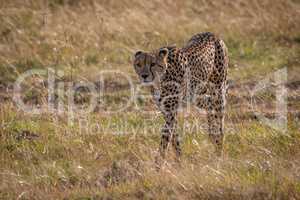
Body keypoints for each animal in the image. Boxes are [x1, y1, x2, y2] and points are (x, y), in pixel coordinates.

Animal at [132, 32, 229, 161]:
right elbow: (174, 136)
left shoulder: (170, 111)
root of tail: (212, 33)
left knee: (219, 119)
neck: (161, 79)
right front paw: (179, 158)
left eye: (152, 64)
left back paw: (219, 145)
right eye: (138, 64)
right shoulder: (166, 111)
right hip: (194, 94)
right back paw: (212, 134)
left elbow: (165, 137)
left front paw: (158, 162)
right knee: (208, 103)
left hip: (218, 91)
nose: (144, 75)